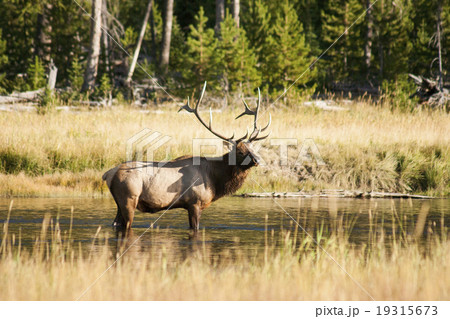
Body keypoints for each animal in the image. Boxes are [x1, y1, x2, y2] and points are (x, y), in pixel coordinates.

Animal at [102, 82, 270, 231]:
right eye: (240, 151)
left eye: (252, 148)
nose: (257, 160)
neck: (215, 179)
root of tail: (107, 174)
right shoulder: (194, 202)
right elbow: (194, 227)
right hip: (128, 197)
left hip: (119, 203)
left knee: (115, 224)